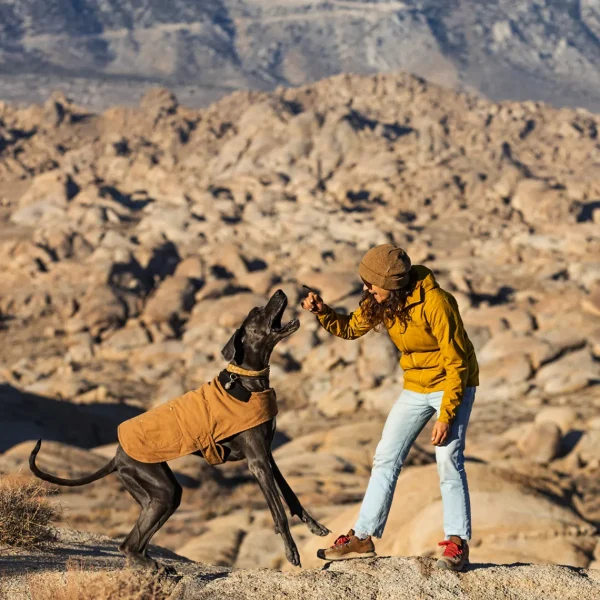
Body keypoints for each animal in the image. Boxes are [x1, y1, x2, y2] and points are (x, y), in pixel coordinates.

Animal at [29, 292, 328, 572]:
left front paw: (315, 527)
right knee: (128, 545)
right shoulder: (257, 462)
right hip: (164, 490)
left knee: (137, 543)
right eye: (257, 311)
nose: (279, 292)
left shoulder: (268, 455)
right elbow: (278, 510)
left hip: (155, 496)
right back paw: (153, 567)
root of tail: (116, 456)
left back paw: (155, 565)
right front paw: (291, 552)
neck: (248, 380)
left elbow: (290, 495)